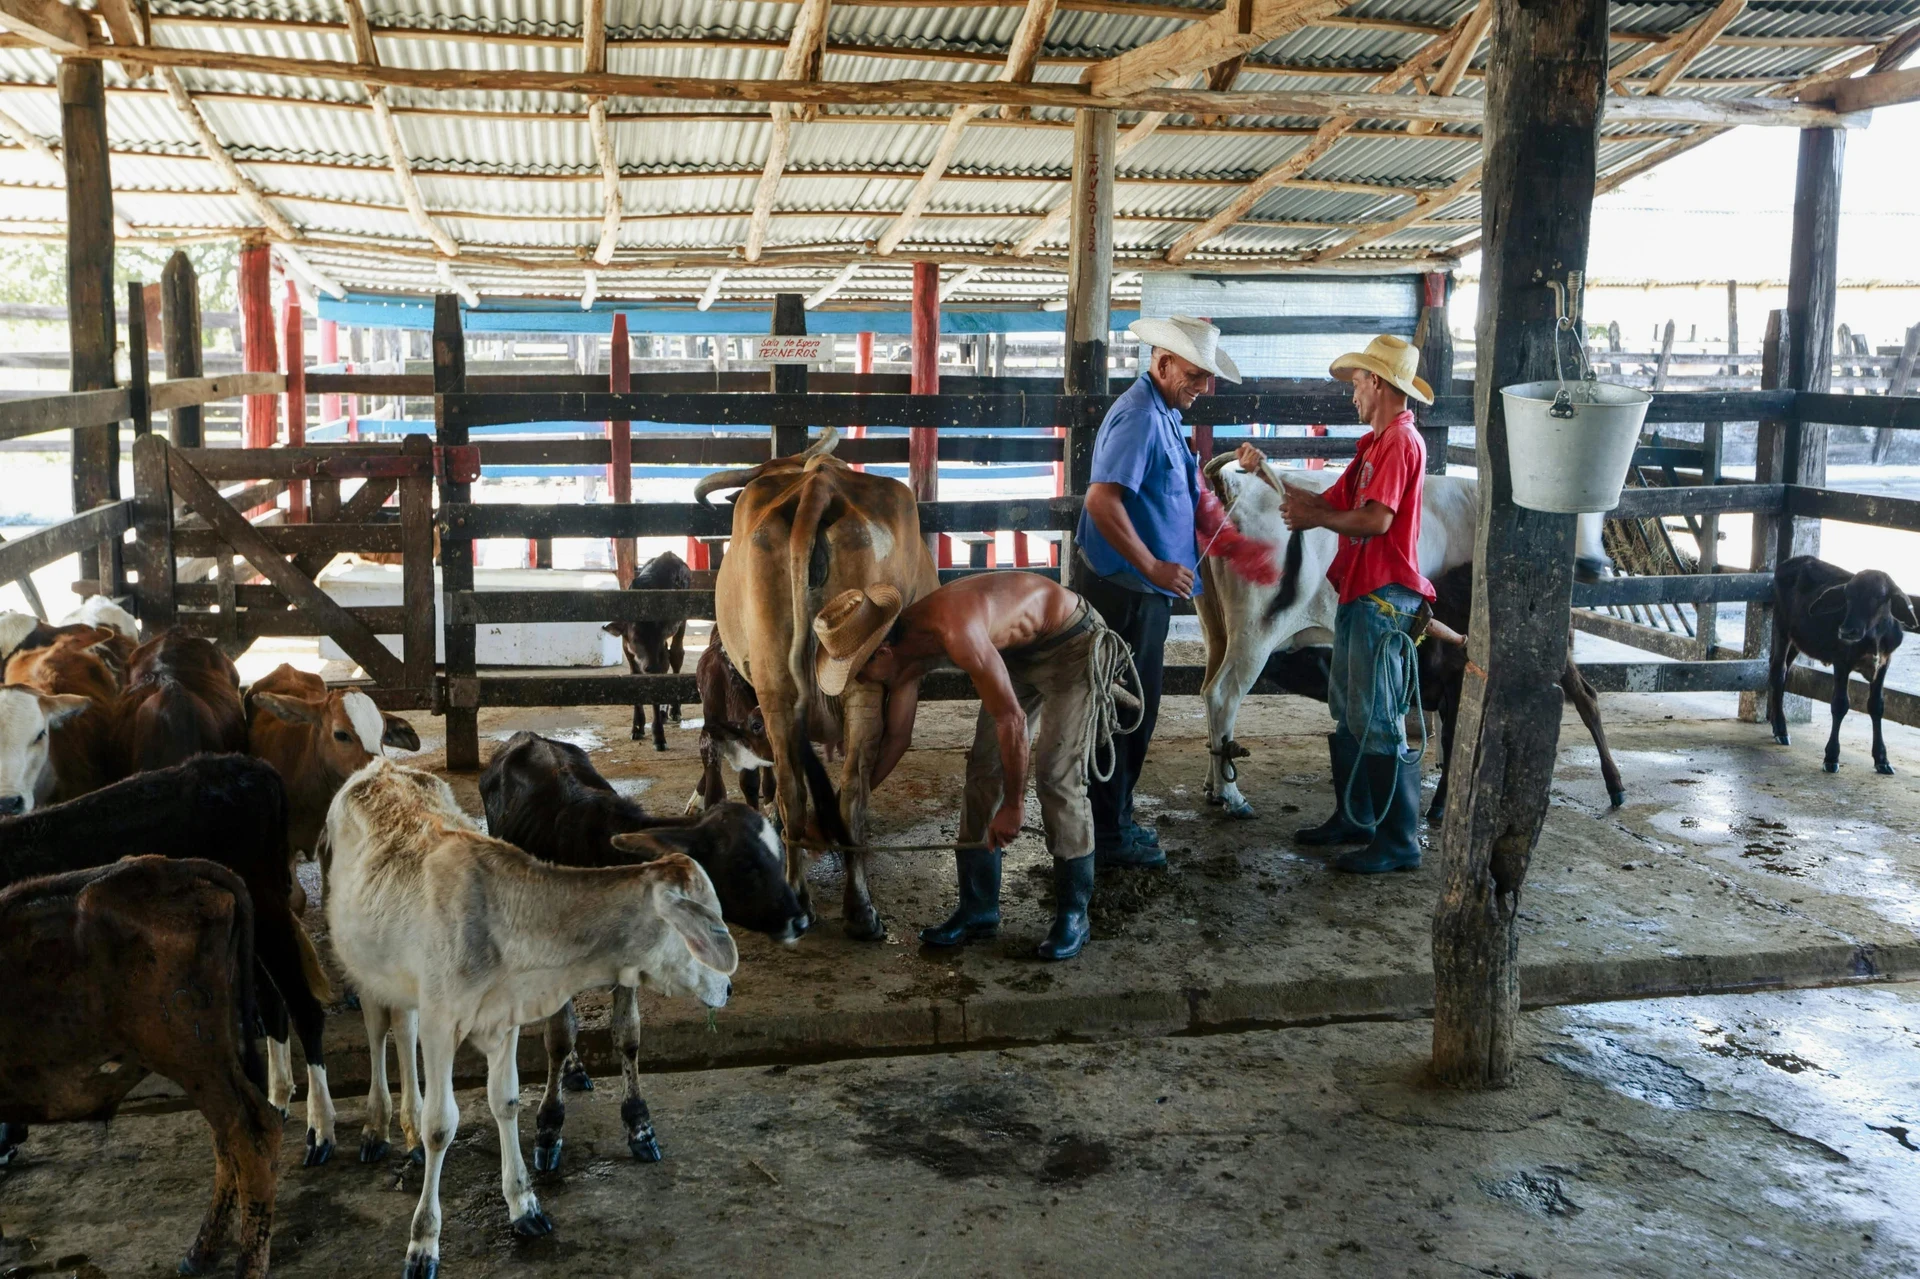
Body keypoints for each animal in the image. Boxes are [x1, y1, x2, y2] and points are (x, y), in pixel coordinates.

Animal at [0, 852, 282, 1267]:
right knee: (227, 1136)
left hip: (190, 1055)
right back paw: (200, 1251)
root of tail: (169, 865)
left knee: (251, 1132)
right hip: (212, 1058)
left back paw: (247, 1264)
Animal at [322, 756, 733, 1275]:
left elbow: (507, 1102)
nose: (728, 987)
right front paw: (423, 1242)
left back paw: (407, 1130)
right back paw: (377, 1129)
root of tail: (381, 764)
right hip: (362, 966)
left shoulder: (506, 1019)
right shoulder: (441, 1023)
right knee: (378, 1032)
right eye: (711, 926)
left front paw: (523, 1204)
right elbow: (442, 1126)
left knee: (401, 1027)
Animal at [698, 428, 936, 937]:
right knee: (851, 791)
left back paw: (809, 897)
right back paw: (858, 903)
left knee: (795, 787)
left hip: (775, 684)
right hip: (862, 680)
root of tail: (818, 485)